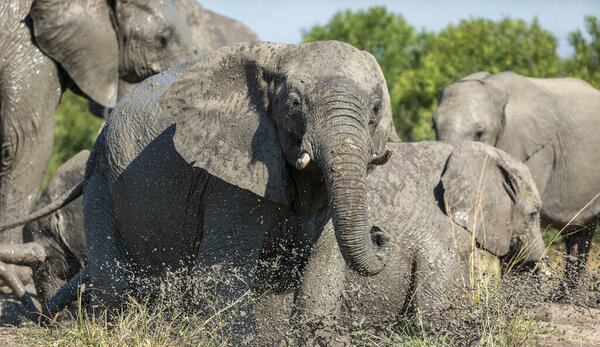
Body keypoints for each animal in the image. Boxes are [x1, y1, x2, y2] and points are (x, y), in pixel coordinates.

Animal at [4, 40, 396, 340]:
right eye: (294, 104)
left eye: (376, 108)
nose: (380, 234)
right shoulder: (230, 176)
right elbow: (221, 274)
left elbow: (324, 269)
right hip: (101, 180)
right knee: (116, 281)